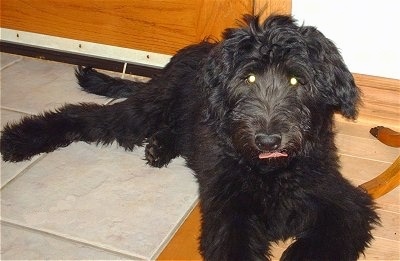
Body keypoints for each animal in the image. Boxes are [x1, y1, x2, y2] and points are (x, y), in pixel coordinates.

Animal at [1, 15, 380, 258]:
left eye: (296, 80)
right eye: (249, 78)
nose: (268, 141)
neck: (270, 173)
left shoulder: (344, 202)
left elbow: (323, 240)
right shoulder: (228, 214)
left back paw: (159, 148)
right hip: (144, 110)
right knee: (82, 115)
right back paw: (17, 138)